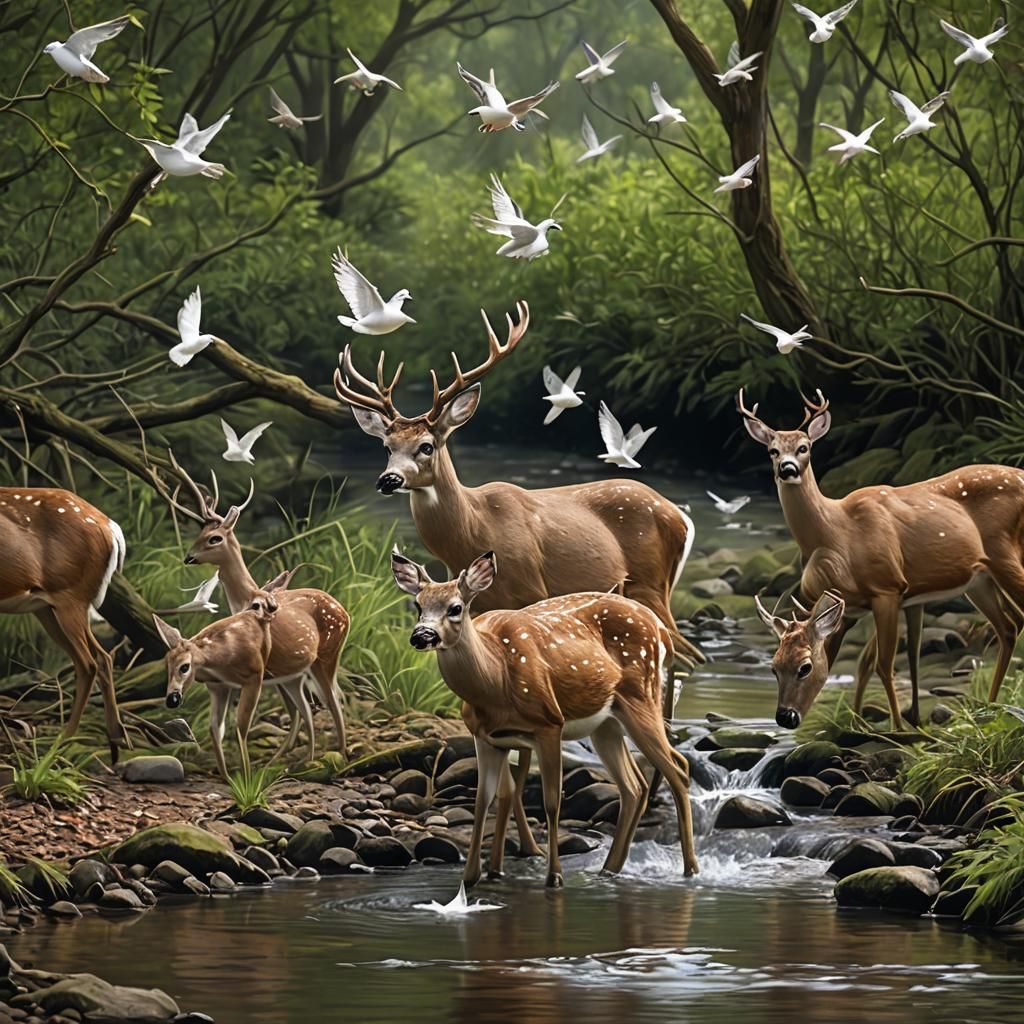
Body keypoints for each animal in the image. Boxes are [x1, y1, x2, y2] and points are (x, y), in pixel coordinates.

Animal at [0, 486, 127, 760]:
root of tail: (111, 527)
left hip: (70, 596)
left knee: (90, 663)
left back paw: (63, 742)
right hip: (47, 607)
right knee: (101, 658)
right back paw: (116, 740)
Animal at [155, 571, 318, 779]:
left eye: (185, 667)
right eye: (166, 665)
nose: (171, 699)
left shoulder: (255, 676)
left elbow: (241, 727)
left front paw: (247, 777)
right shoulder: (218, 686)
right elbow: (215, 728)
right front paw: (227, 777)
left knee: (304, 707)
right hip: (290, 679)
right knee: (303, 708)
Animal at [165, 459, 350, 759]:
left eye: (214, 538)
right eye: (200, 533)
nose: (189, 557)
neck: (247, 596)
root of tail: (345, 612)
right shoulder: (276, 670)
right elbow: (295, 711)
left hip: (327, 653)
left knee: (333, 699)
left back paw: (341, 755)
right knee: (321, 702)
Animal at [392, 549, 699, 888]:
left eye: (455, 607)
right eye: (418, 605)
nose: (422, 635)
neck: (496, 679)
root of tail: (661, 631)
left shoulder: (549, 724)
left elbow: (552, 801)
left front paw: (554, 877)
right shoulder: (486, 738)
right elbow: (485, 799)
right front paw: (472, 878)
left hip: (641, 697)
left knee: (678, 768)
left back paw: (690, 870)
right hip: (606, 723)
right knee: (635, 785)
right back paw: (609, 869)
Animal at [739, 389, 1024, 730]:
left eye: (803, 447)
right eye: (774, 667)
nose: (786, 717)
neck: (837, 532)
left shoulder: (887, 588)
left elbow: (883, 664)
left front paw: (897, 728)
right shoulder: (859, 605)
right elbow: (858, 662)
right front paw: (858, 721)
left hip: (1005, 556)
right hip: (978, 580)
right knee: (1008, 627)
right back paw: (990, 707)